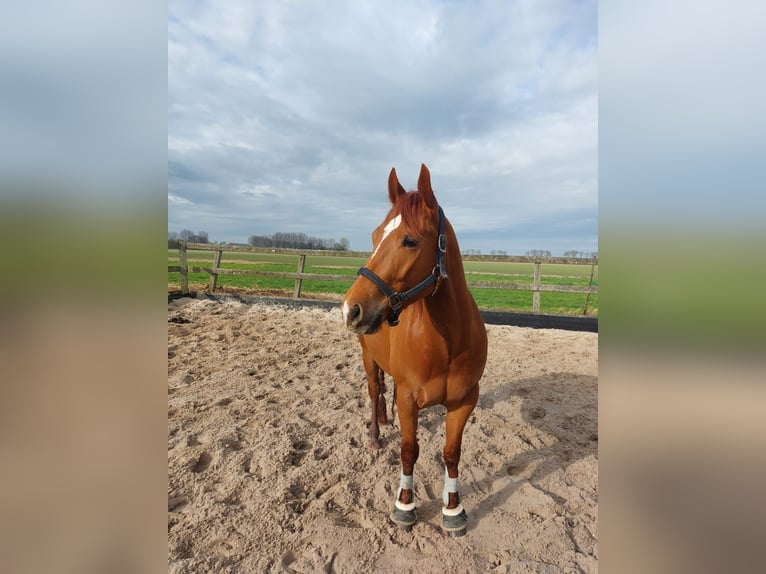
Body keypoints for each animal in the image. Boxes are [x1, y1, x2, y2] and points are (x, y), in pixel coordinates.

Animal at [342, 164, 488, 537]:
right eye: (374, 237)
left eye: (409, 240)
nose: (350, 309)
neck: (447, 340)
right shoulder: (409, 400)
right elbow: (409, 451)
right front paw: (404, 506)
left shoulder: (465, 401)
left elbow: (451, 453)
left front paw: (453, 509)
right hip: (367, 357)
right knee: (374, 389)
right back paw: (375, 433)